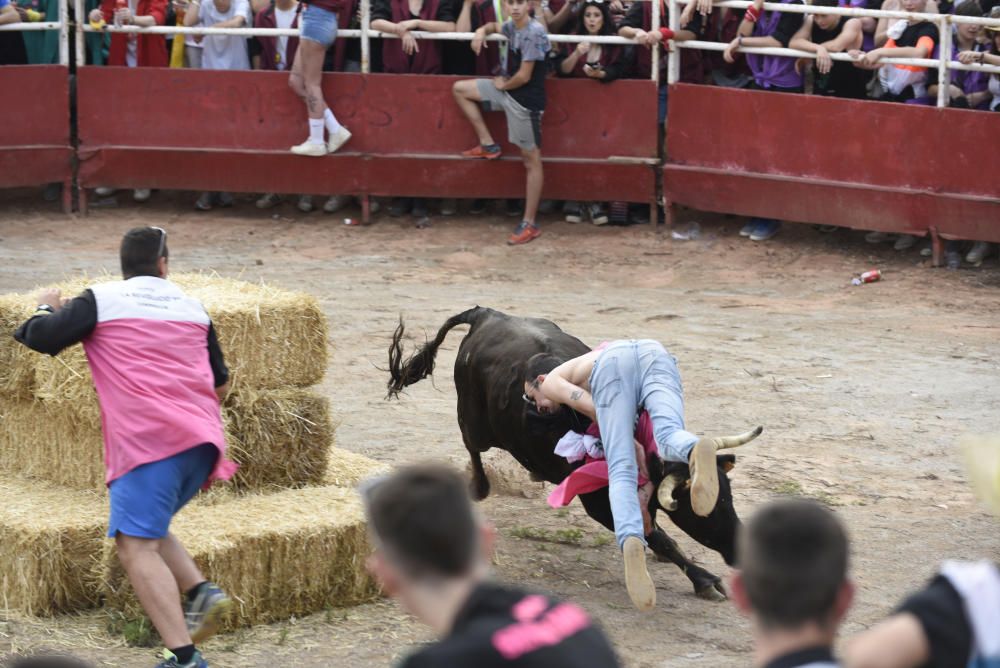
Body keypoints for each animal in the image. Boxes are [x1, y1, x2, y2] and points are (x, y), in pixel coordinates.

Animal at [386, 306, 752, 596]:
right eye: (704, 509)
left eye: (730, 498)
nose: (739, 550)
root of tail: (486, 314)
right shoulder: (599, 504)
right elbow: (659, 536)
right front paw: (704, 580)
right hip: (474, 421)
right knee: (472, 446)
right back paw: (479, 487)